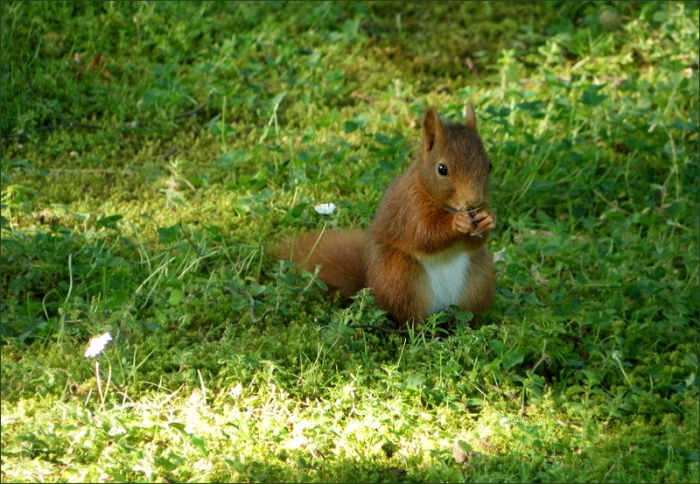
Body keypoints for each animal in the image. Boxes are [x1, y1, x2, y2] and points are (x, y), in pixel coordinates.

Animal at [273, 104, 496, 327]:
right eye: (442, 169)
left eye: (489, 165)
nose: (474, 201)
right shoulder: (410, 208)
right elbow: (424, 235)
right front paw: (456, 223)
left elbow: (474, 243)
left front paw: (488, 218)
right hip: (400, 277)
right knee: (409, 319)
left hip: (478, 280)